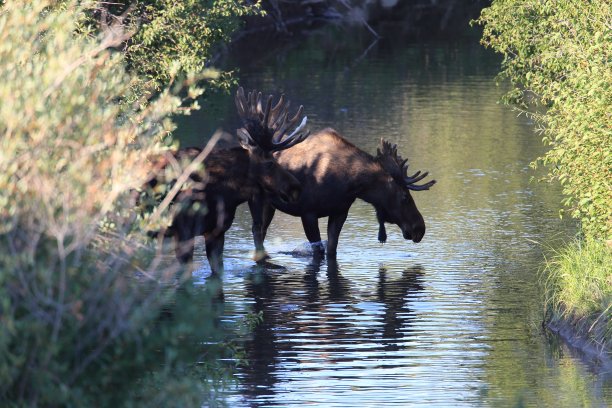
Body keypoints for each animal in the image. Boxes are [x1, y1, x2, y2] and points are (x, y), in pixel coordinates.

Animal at [243, 95, 436, 258]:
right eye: (405, 197)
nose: (420, 228)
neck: (350, 183)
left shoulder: (340, 212)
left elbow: (332, 250)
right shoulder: (308, 212)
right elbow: (318, 251)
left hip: (270, 205)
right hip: (258, 199)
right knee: (257, 231)